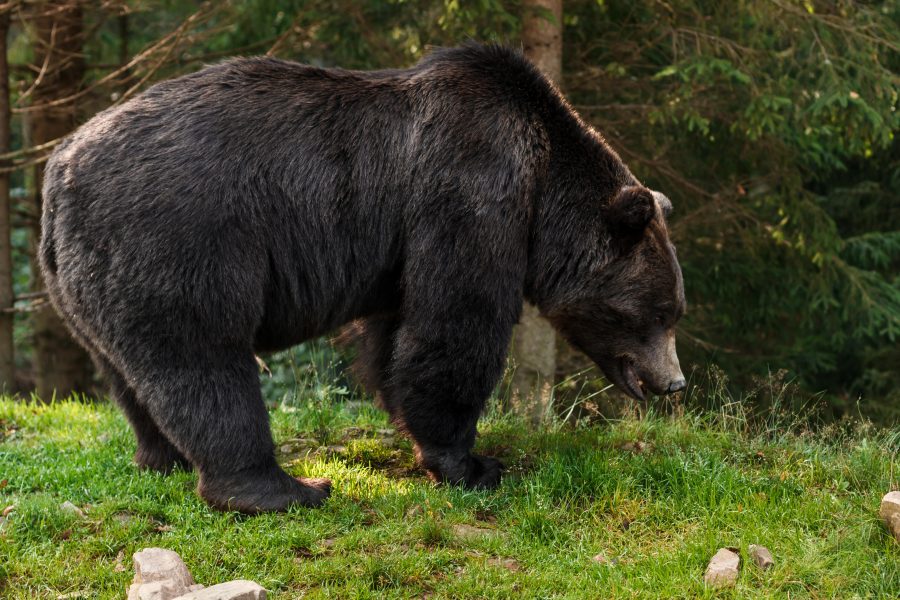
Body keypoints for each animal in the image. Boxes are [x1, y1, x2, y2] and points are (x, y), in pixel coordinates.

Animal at [38, 43, 684, 510]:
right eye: (658, 312)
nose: (675, 383)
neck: (543, 185)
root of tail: (59, 170)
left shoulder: (403, 247)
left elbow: (397, 335)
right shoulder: (472, 191)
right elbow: (456, 325)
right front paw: (474, 464)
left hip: (85, 278)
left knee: (128, 373)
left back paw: (161, 459)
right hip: (180, 237)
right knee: (204, 360)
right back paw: (284, 489)